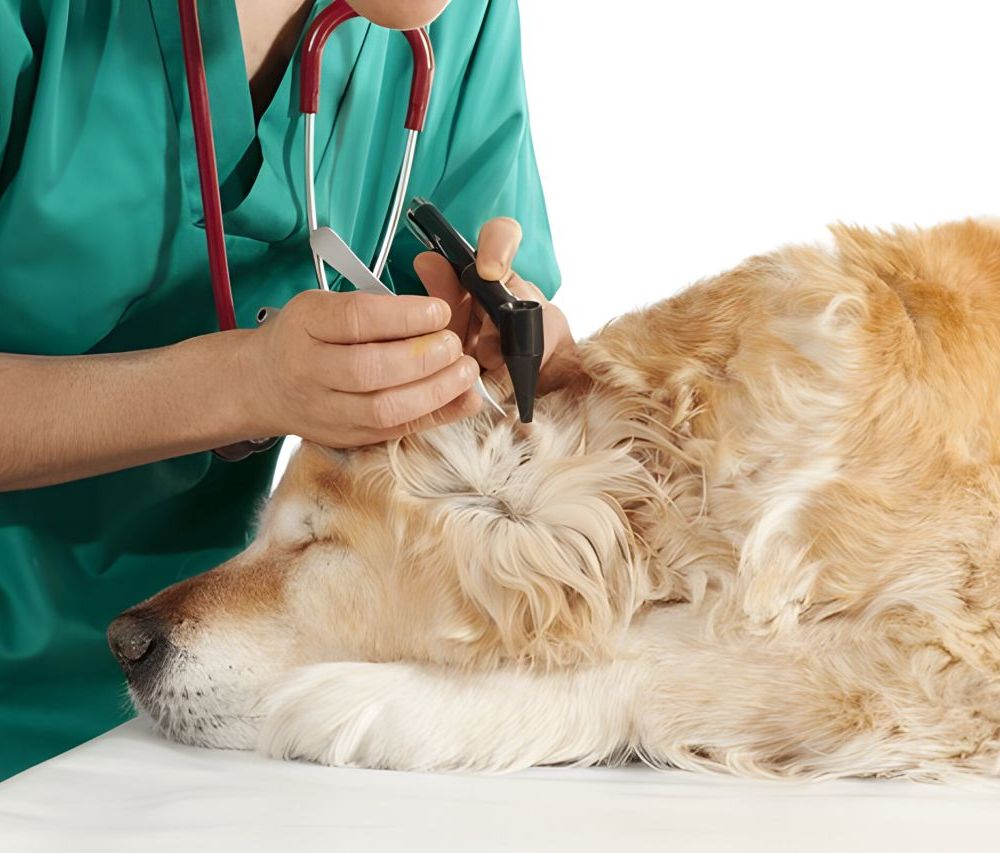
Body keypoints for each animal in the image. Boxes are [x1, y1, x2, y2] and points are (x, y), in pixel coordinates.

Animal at [103, 220, 1000, 780]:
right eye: (261, 533)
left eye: (314, 543)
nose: (124, 640)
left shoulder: (946, 653)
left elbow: (667, 658)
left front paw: (364, 699)